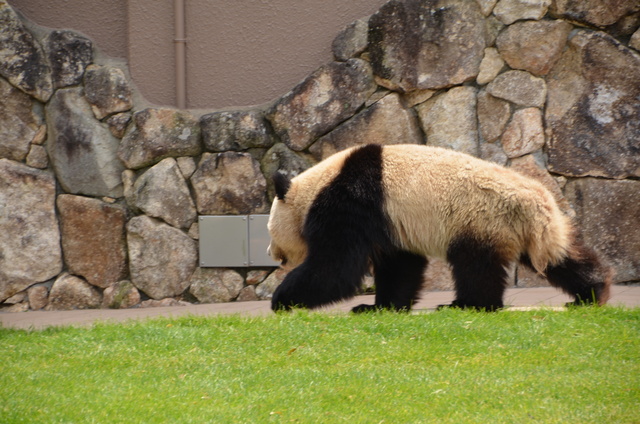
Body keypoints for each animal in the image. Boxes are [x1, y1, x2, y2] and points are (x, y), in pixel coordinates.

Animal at [264, 144, 608, 314]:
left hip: (480, 218)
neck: (314, 187)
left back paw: (467, 305)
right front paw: (379, 307)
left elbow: (337, 267)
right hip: (521, 229)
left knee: (475, 266)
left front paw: (282, 300)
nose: (271, 254)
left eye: (269, 231)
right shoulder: (389, 221)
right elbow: (400, 264)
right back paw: (592, 292)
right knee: (560, 258)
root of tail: (537, 203)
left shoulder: (351, 202)